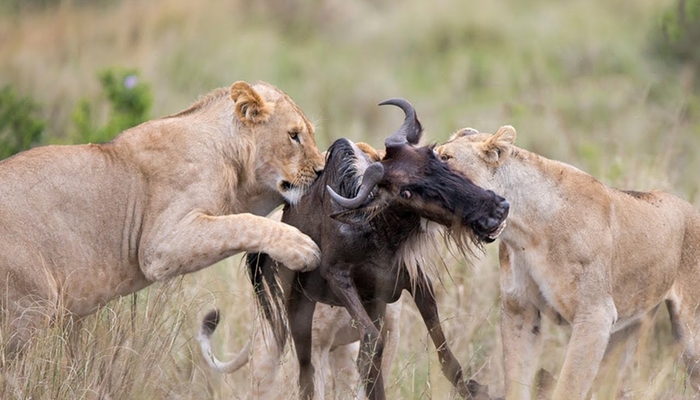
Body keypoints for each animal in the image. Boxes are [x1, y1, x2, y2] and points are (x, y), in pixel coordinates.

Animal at [0, 80, 326, 354]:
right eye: (294, 136)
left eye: (310, 134)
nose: (322, 170)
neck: (230, 157)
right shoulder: (160, 246)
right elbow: (242, 224)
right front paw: (300, 248)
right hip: (28, 310)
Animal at [434, 126, 700, 400]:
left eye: (446, 158)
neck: (525, 229)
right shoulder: (520, 308)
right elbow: (517, 377)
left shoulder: (595, 314)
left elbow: (569, 385)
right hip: (629, 325)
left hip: (689, 332)